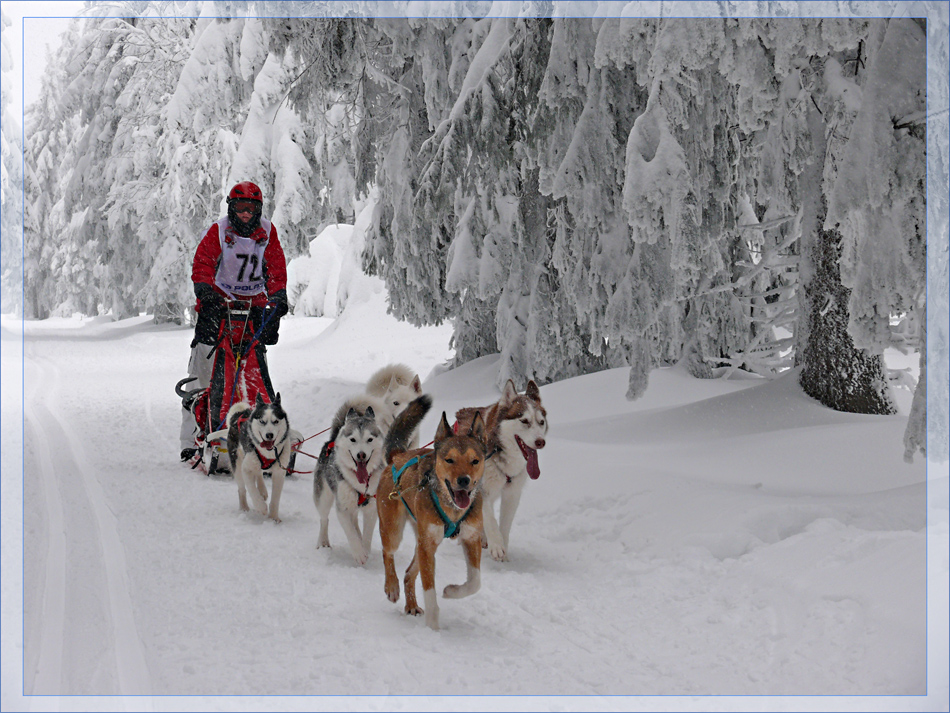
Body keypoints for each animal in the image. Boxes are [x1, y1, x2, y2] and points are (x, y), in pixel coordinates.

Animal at [376, 392, 488, 632]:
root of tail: (398, 456)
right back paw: (392, 586)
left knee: (409, 574)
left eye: (475, 461)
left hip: (422, 541)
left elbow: (475, 582)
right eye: (449, 459)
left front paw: (451, 591)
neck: (452, 510)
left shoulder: (471, 538)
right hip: (396, 530)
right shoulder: (428, 546)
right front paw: (433, 628)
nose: (464, 480)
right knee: (387, 552)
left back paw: (411, 604)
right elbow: (429, 591)